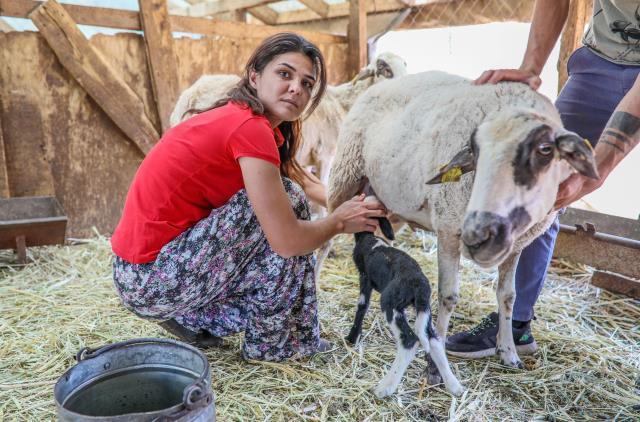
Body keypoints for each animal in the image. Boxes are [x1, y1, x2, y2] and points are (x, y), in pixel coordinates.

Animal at [330, 71, 600, 380]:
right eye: (474, 152)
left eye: (545, 150)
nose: (481, 236)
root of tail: (384, 83)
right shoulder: (449, 230)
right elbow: (448, 297)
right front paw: (434, 364)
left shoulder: (516, 245)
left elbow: (509, 296)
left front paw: (508, 352)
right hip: (345, 175)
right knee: (324, 236)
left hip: (387, 200)